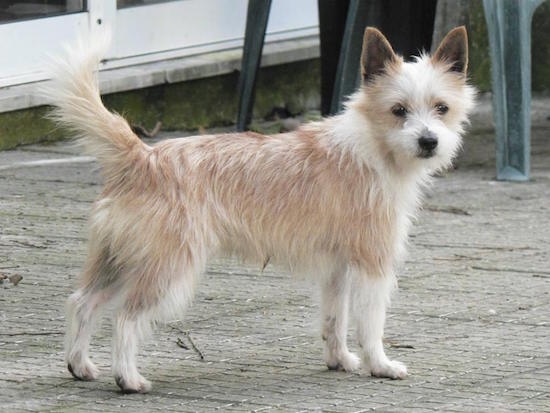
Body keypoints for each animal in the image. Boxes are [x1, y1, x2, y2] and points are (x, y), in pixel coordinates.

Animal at [42, 25, 474, 392]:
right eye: (399, 110)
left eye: (441, 108)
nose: (429, 142)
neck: (373, 146)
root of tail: (143, 156)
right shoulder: (374, 265)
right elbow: (370, 324)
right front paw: (380, 365)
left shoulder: (337, 270)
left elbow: (334, 320)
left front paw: (339, 360)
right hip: (167, 270)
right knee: (126, 318)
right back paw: (128, 379)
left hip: (119, 260)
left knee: (83, 303)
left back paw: (80, 366)